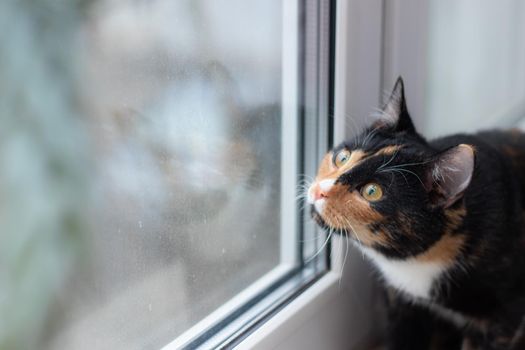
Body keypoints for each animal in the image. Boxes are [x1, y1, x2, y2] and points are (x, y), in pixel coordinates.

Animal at [308, 77, 525, 350]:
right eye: (342, 157)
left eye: (372, 191)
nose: (319, 191)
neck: (424, 260)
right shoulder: (400, 302)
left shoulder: (504, 316)